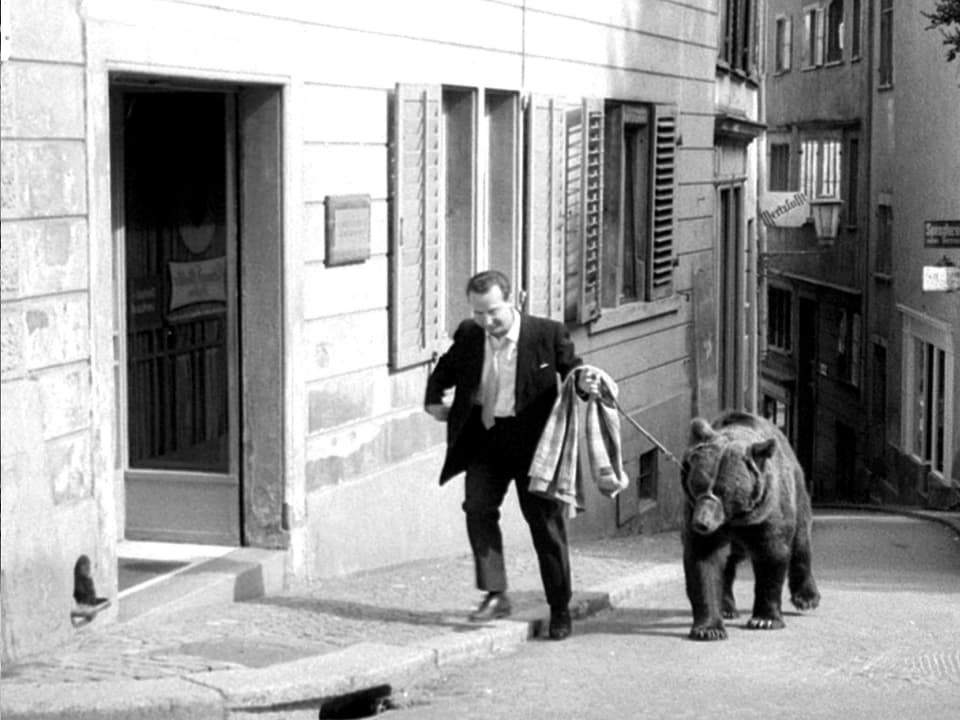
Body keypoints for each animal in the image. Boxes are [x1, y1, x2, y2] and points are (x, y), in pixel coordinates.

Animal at [680, 410, 820, 640]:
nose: (701, 523)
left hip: (798, 490)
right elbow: (704, 561)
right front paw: (709, 628)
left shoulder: (767, 514)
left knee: (801, 541)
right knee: (728, 563)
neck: (734, 518)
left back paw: (807, 597)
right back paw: (726, 608)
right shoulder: (696, 513)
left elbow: (772, 555)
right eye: (698, 485)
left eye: (723, 491)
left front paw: (765, 619)